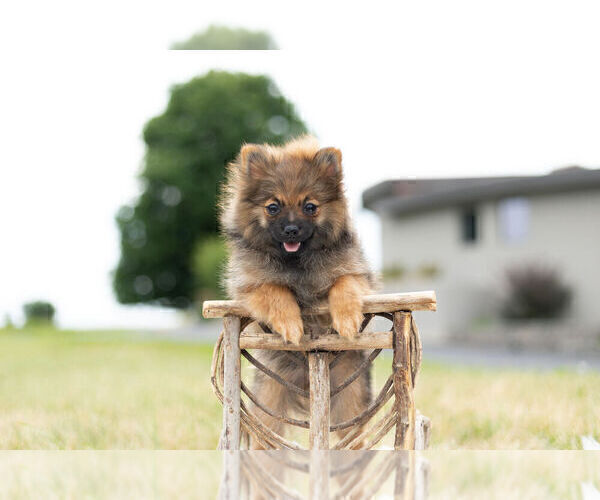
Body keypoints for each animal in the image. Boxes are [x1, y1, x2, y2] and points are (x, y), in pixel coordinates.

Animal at [220, 135, 378, 448]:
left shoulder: (357, 274)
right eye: (273, 207)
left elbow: (343, 284)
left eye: (310, 206)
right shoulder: (250, 286)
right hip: (269, 400)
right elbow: (275, 290)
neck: (297, 262)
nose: (292, 229)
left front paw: (347, 320)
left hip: (349, 400)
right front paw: (291, 325)